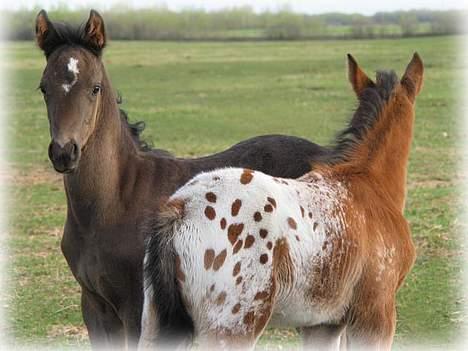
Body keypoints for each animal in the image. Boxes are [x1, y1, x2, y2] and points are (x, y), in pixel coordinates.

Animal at [34, 9, 330, 350]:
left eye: (95, 88)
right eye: (44, 88)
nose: (64, 152)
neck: (115, 200)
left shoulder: (137, 307)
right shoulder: (94, 306)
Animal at [140, 53, 424, 350]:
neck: (368, 182)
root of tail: (183, 209)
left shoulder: (323, 323)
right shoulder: (375, 315)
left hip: (153, 323)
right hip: (232, 329)